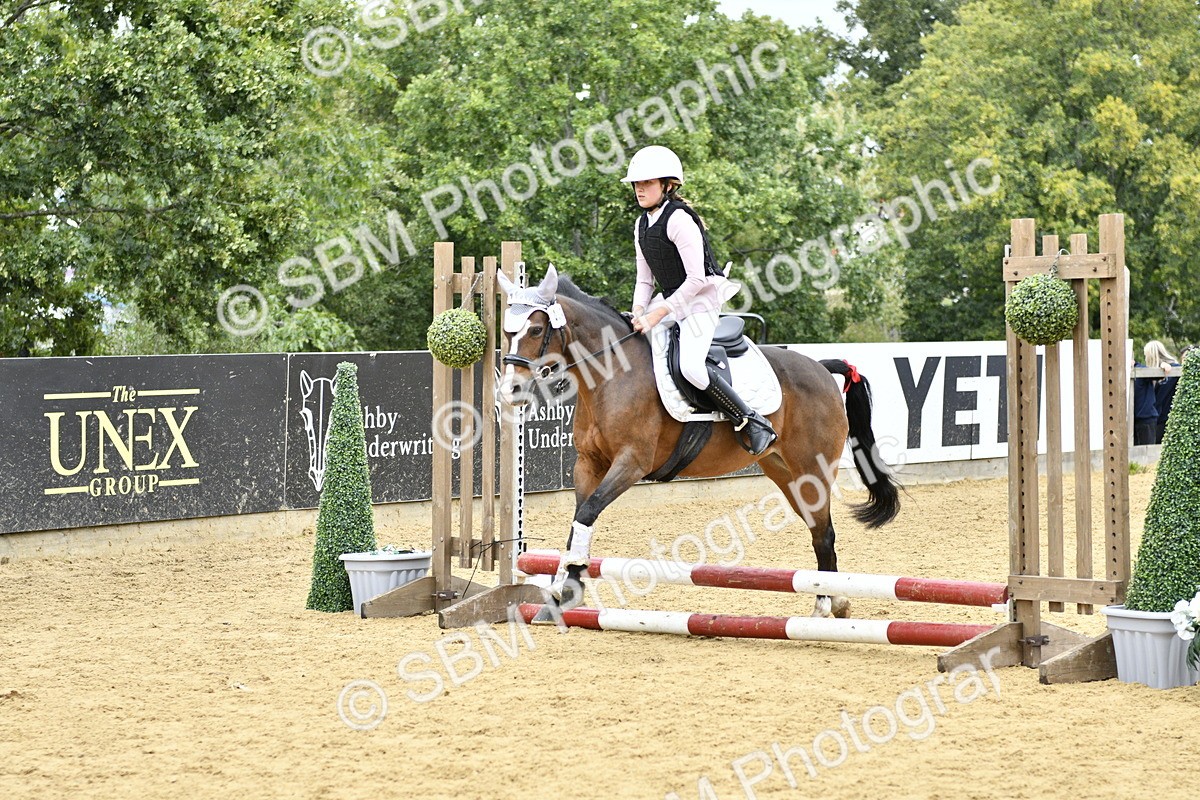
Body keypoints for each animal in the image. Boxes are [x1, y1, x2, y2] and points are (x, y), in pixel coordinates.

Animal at [497, 266, 900, 618]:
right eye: (505, 332)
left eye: (536, 329)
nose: (510, 391)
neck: (612, 376)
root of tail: (820, 367)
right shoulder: (588, 464)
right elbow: (580, 519)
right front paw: (568, 588)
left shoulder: (632, 462)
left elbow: (588, 511)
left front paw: (567, 589)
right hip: (785, 473)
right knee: (818, 529)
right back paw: (837, 602)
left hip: (812, 468)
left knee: (824, 534)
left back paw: (824, 606)